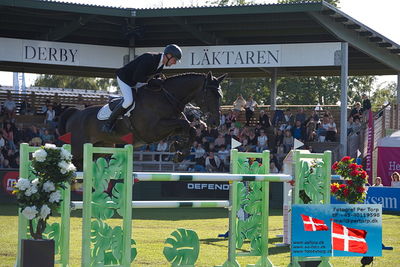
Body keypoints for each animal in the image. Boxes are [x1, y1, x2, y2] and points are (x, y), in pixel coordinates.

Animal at [57, 72, 225, 166]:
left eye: (220, 95)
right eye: (210, 95)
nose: (215, 122)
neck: (166, 97)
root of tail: (75, 113)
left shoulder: (168, 128)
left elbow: (190, 129)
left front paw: (178, 150)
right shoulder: (153, 131)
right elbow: (186, 124)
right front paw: (179, 149)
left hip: (100, 148)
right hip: (78, 148)